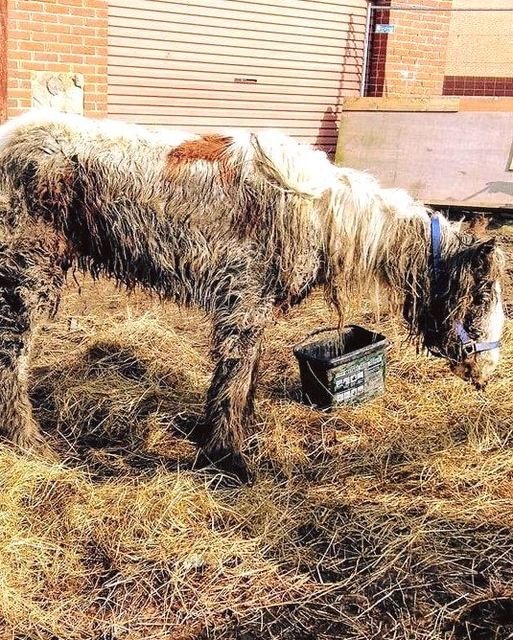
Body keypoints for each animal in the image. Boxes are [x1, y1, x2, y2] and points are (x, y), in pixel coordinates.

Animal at [0, 109, 505, 482]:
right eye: (481, 298)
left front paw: (237, 437)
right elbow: (234, 380)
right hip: (27, 275)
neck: (323, 214)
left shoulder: (253, 309)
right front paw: (229, 461)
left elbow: (244, 381)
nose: (489, 373)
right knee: (12, 356)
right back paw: (28, 442)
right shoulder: (243, 305)